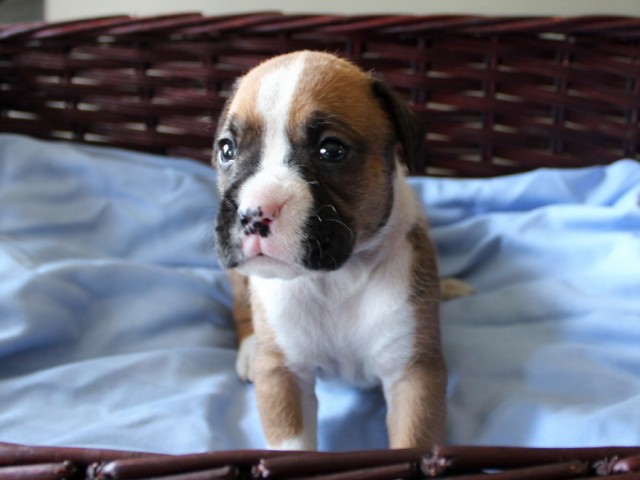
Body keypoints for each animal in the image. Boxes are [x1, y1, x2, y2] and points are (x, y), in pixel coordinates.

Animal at [214, 51, 444, 450]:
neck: (335, 280)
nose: (253, 212)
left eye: (332, 150)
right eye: (227, 149)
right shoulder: (284, 374)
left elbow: (413, 441)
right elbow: (292, 446)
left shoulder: (414, 374)